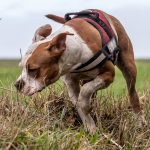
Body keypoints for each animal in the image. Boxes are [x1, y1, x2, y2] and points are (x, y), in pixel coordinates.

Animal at [15, 9, 146, 134]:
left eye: (33, 69)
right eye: (21, 67)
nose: (17, 85)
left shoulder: (108, 74)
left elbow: (85, 93)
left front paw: (85, 106)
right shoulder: (71, 82)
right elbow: (78, 102)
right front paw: (90, 127)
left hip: (128, 65)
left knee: (132, 93)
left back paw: (140, 121)